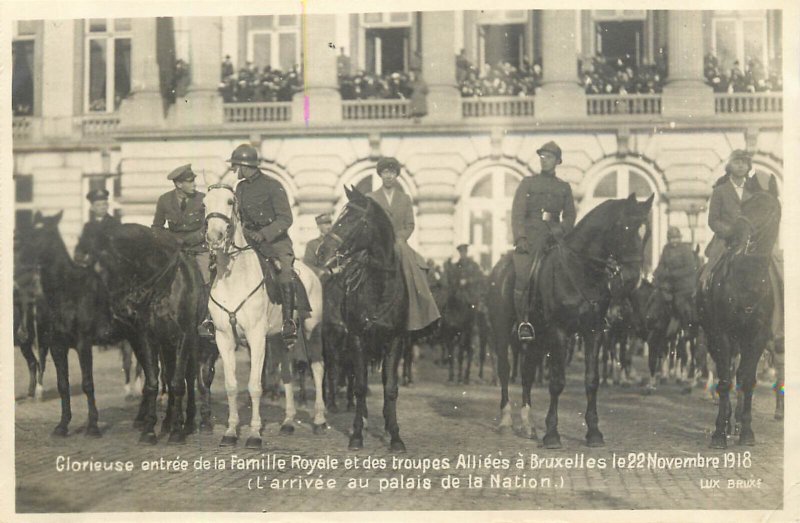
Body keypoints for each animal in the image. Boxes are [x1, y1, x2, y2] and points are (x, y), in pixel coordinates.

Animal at [205, 170, 326, 448]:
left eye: (230, 202)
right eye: (204, 203)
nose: (214, 238)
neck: (234, 278)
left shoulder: (256, 337)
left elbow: (254, 386)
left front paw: (254, 434)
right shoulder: (224, 338)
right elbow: (231, 385)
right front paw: (231, 432)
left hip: (311, 330)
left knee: (317, 367)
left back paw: (319, 420)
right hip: (280, 338)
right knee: (287, 373)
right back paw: (288, 421)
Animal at [488, 194, 648, 448]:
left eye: (647, 232)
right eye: (624, 228)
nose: (633, 278)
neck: (581, 272)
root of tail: (499, 269)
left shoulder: (593, 332)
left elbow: (592, 380)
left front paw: (594, 432)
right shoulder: (559, 332)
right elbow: (557, 381)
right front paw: (552, 433)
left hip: (536, 339)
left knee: (527, 374)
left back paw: (528, 424)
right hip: (503, 331)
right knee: (505, 369)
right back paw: (506, 420)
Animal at [700, 183, 780, 446]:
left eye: (768, 208)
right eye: (746, 205)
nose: (737, 233)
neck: (748, 282)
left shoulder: (758, 337)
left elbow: (747, 381)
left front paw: (746, 432)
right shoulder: (721, 334)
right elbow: (725, 380)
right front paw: (718, 433)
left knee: (740, 376)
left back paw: (733, 423)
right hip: (715, 338)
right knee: (725, 374)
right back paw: (725, 421)